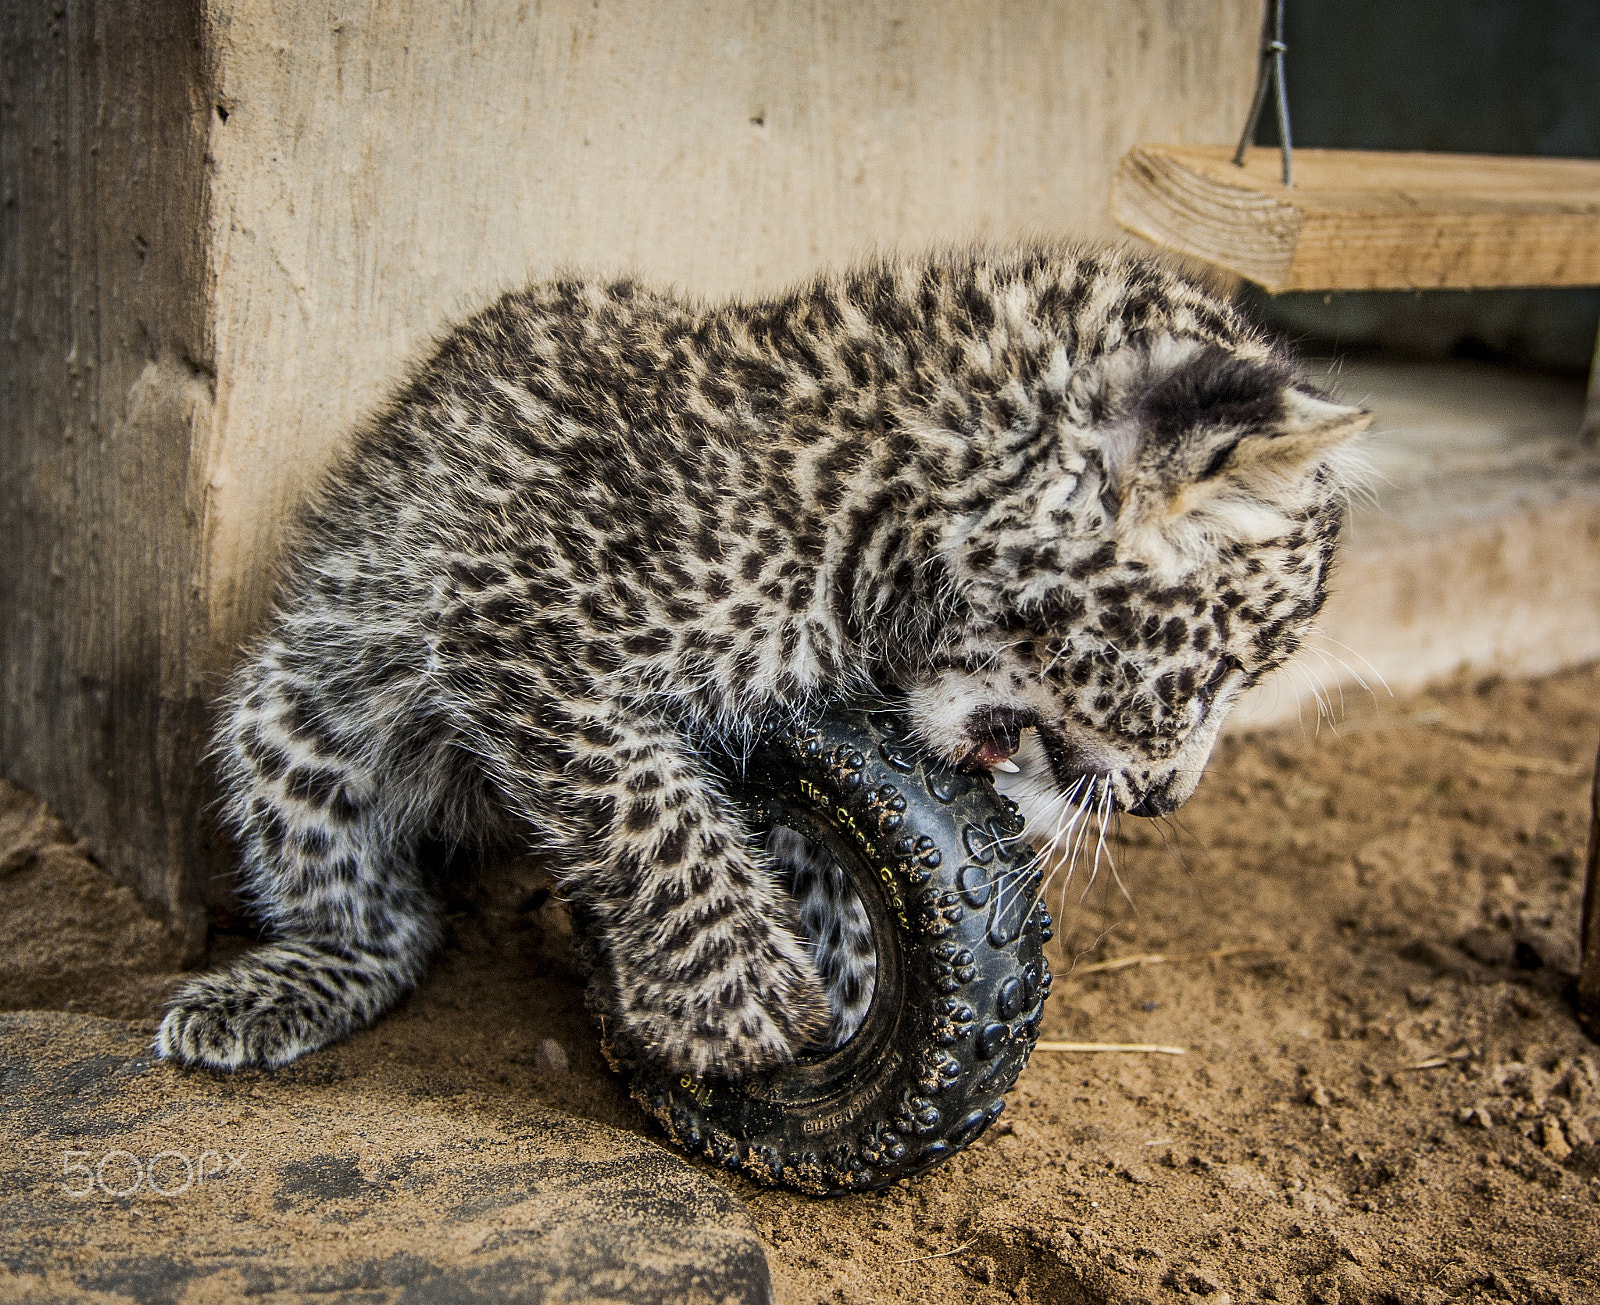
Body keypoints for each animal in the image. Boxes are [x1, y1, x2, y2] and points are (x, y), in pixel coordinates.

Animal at [155, 243, 1368, 1079]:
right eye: (1213, 675)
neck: (885, 498)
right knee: (382, 921)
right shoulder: (520, 618)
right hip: (291, 713)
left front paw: (851, 967)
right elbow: (643, 808)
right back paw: (269, 995)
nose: (1170, 801)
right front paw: (732, 1000)